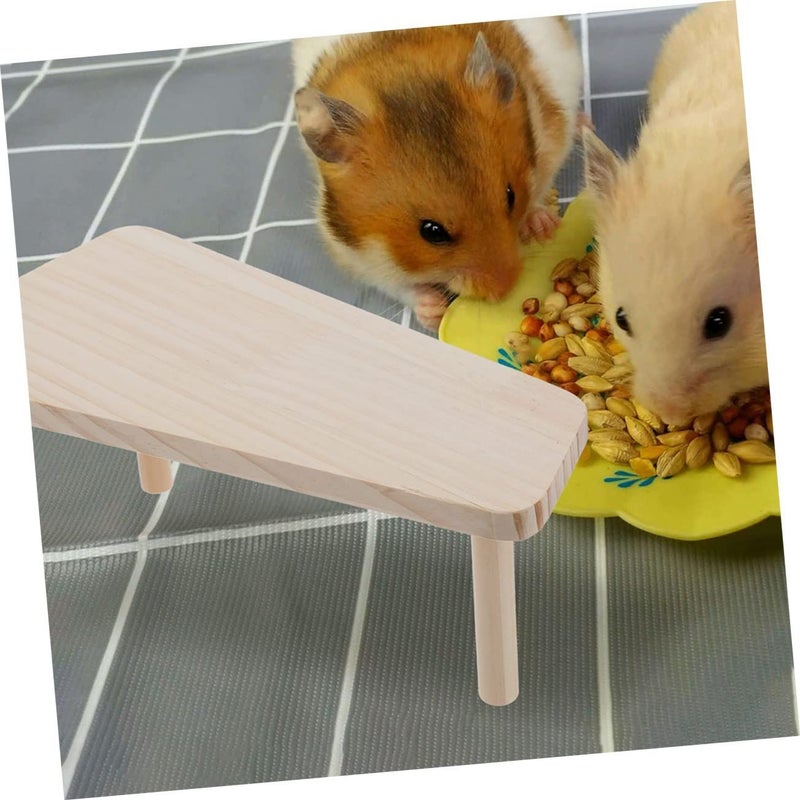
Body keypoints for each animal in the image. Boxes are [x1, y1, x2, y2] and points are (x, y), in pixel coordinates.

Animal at [292, 19, 583, 330]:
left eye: (511, 196)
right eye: (432, 232)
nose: (505, 289)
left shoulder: (552, 130)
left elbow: (541, 186)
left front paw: (543, 227)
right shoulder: (350, 250)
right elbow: (396, 283)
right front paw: (435, 310)